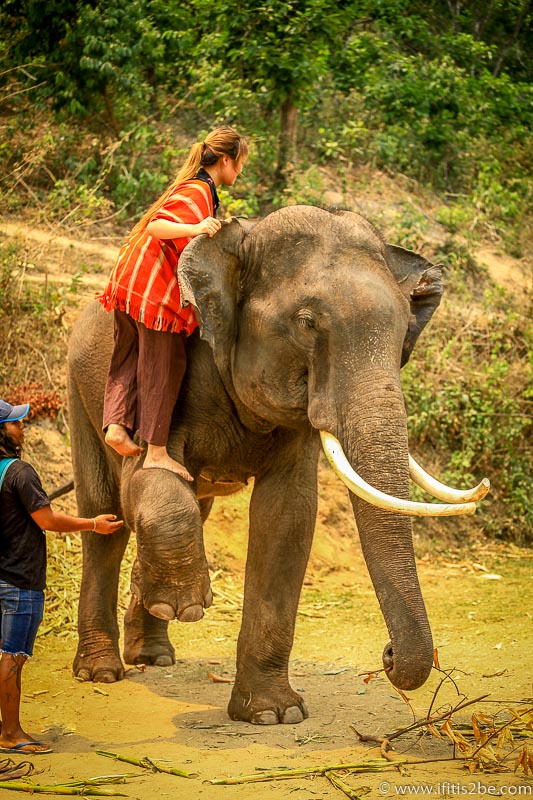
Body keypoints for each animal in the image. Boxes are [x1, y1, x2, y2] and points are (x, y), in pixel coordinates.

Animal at [66, 205, 486, 724]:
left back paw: (153, 651)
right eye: (307, 323)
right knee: (104, 516)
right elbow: (147, 476)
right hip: (80, 388)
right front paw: (190, 604)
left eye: (403, 330)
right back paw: (103, 669)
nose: (387, 655)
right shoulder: (166, 364)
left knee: (191, 505)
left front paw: (272, 714)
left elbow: (287, 515)